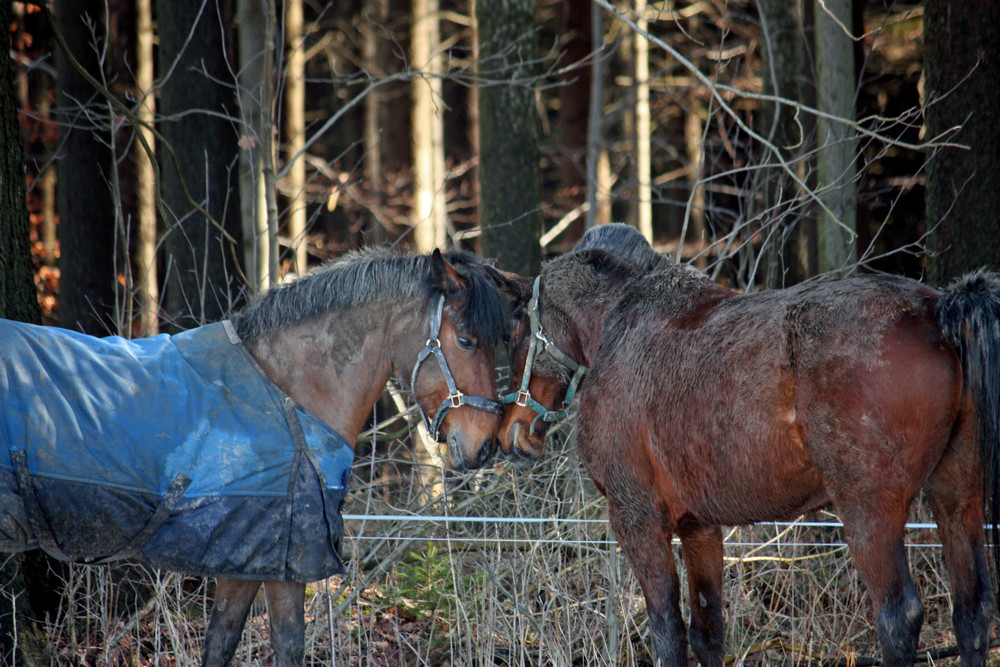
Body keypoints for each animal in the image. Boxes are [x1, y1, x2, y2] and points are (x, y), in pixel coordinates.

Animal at [498, 226, 1000, 667]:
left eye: (516, 326)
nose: (511, 432)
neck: (618, 326)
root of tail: (936, 308)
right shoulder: (699, 526)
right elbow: (707, 632)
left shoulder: (637, 521)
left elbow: (668, 634)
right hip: (956, 498)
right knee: (972, 612)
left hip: (870, 512)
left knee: (899, 617)